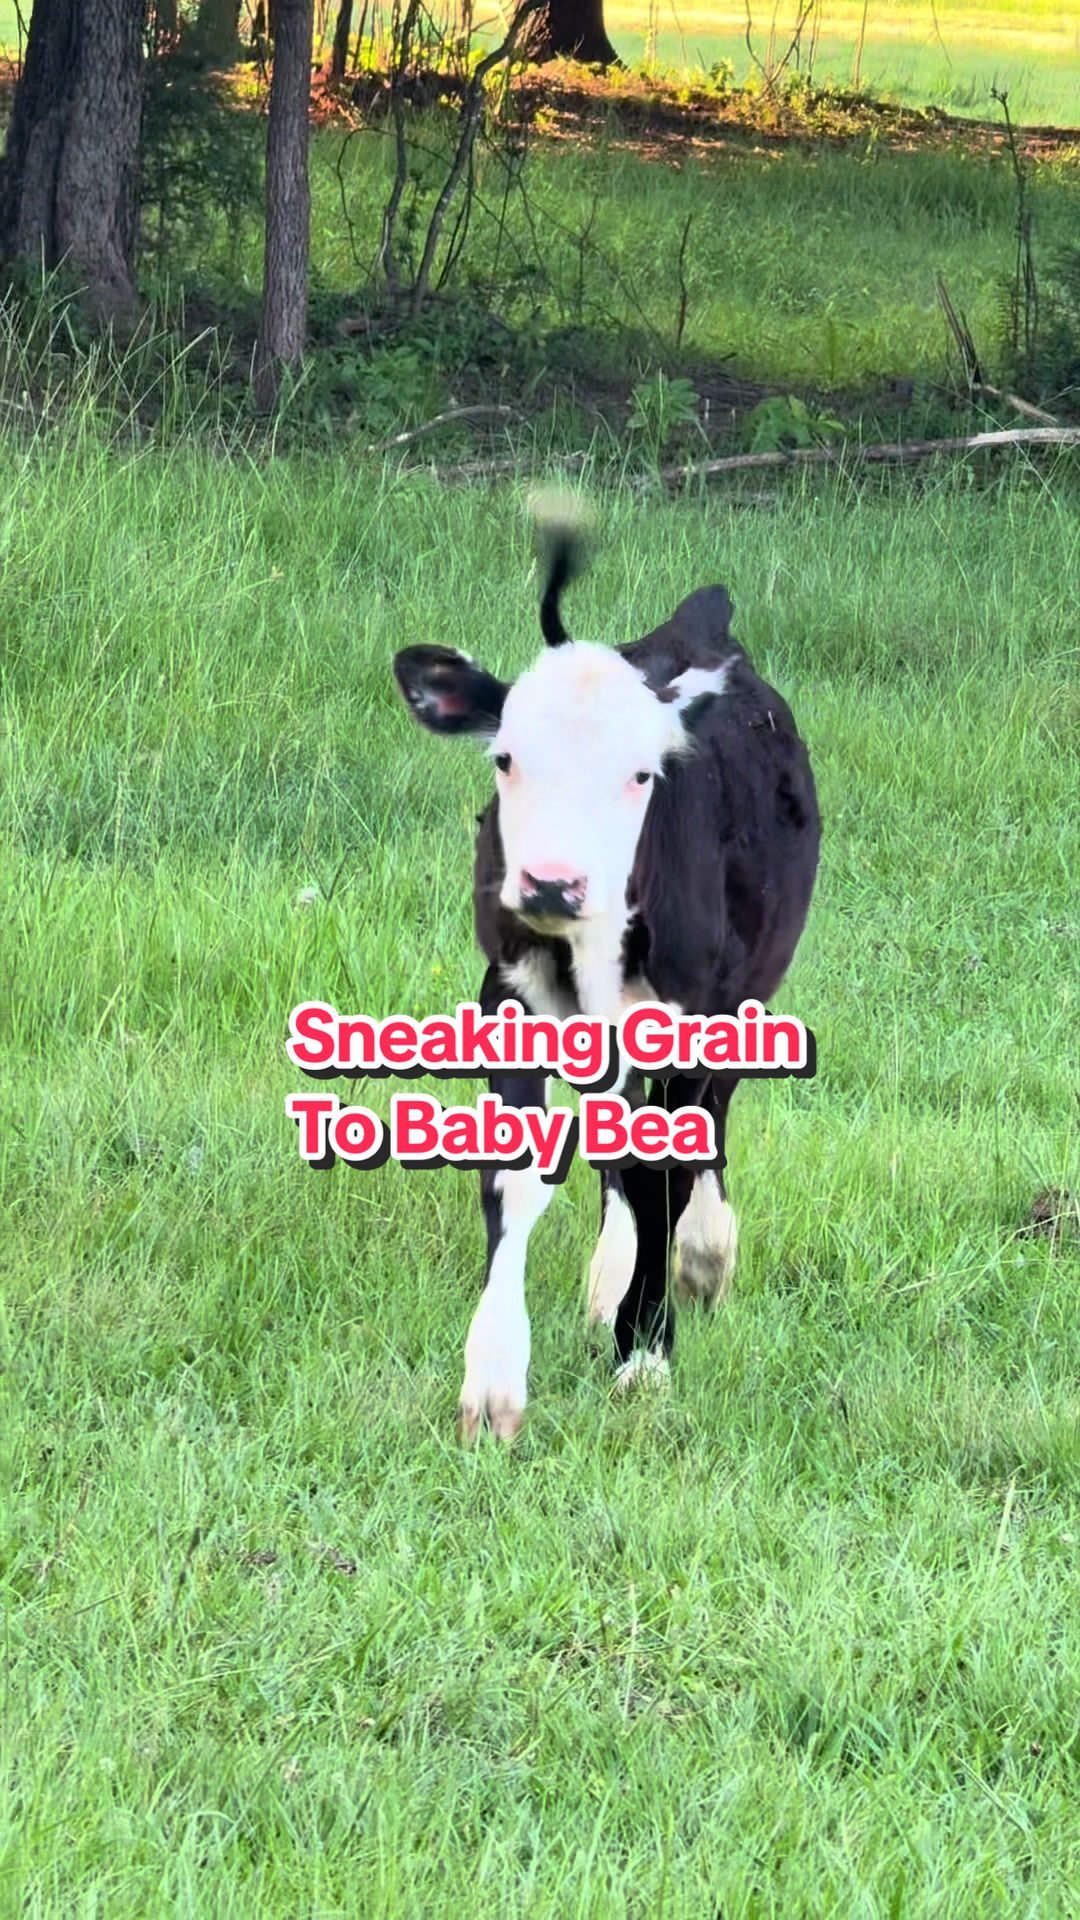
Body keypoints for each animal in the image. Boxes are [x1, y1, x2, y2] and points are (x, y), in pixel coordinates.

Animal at [393, 512, 820, 1441]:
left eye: (641, 773)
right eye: (505, 759)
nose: (553, 882)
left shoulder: (690, 1013)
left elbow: (668, 1169)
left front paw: (647, 1355)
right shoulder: (507, 998)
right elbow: (519, 1177)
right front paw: (494, 1383)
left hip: (747, 988)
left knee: (709, 1116)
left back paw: (700, 1257)